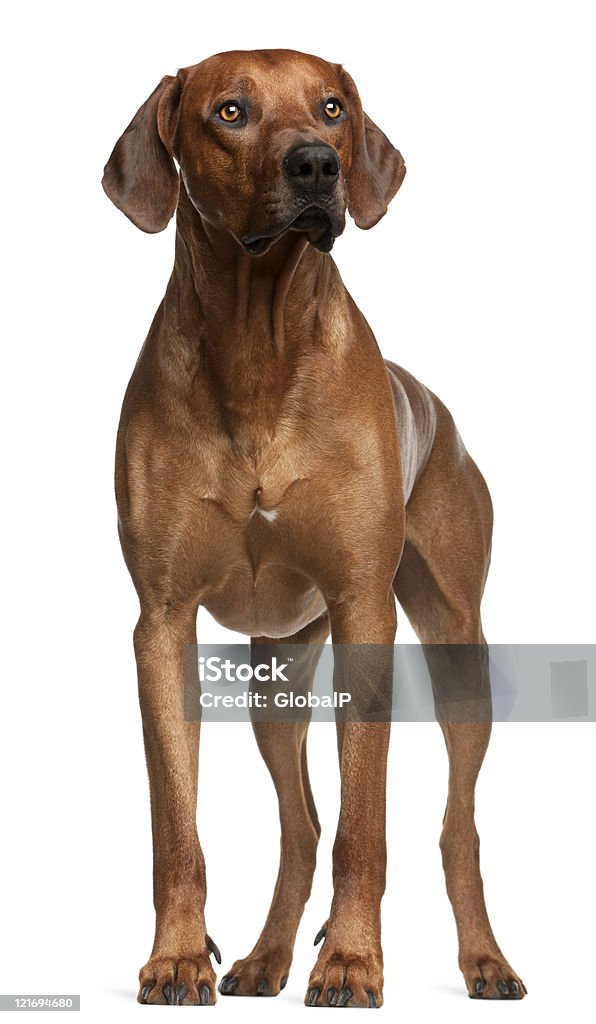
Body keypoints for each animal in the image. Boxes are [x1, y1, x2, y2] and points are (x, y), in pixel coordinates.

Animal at [102, 48, 528, 1007]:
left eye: (332, 108)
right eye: (230, 110)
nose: (317, 166)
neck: (257, 344)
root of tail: (436, 405)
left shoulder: (366, 607)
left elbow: (366, 825)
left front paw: (353, 963)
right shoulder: (162, 621)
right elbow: (175, 827)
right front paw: (178, 957)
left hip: (456, 645)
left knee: (457, 825)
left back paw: (485, 960)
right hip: (279, 671)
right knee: (299, 824)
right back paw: (264, 959)